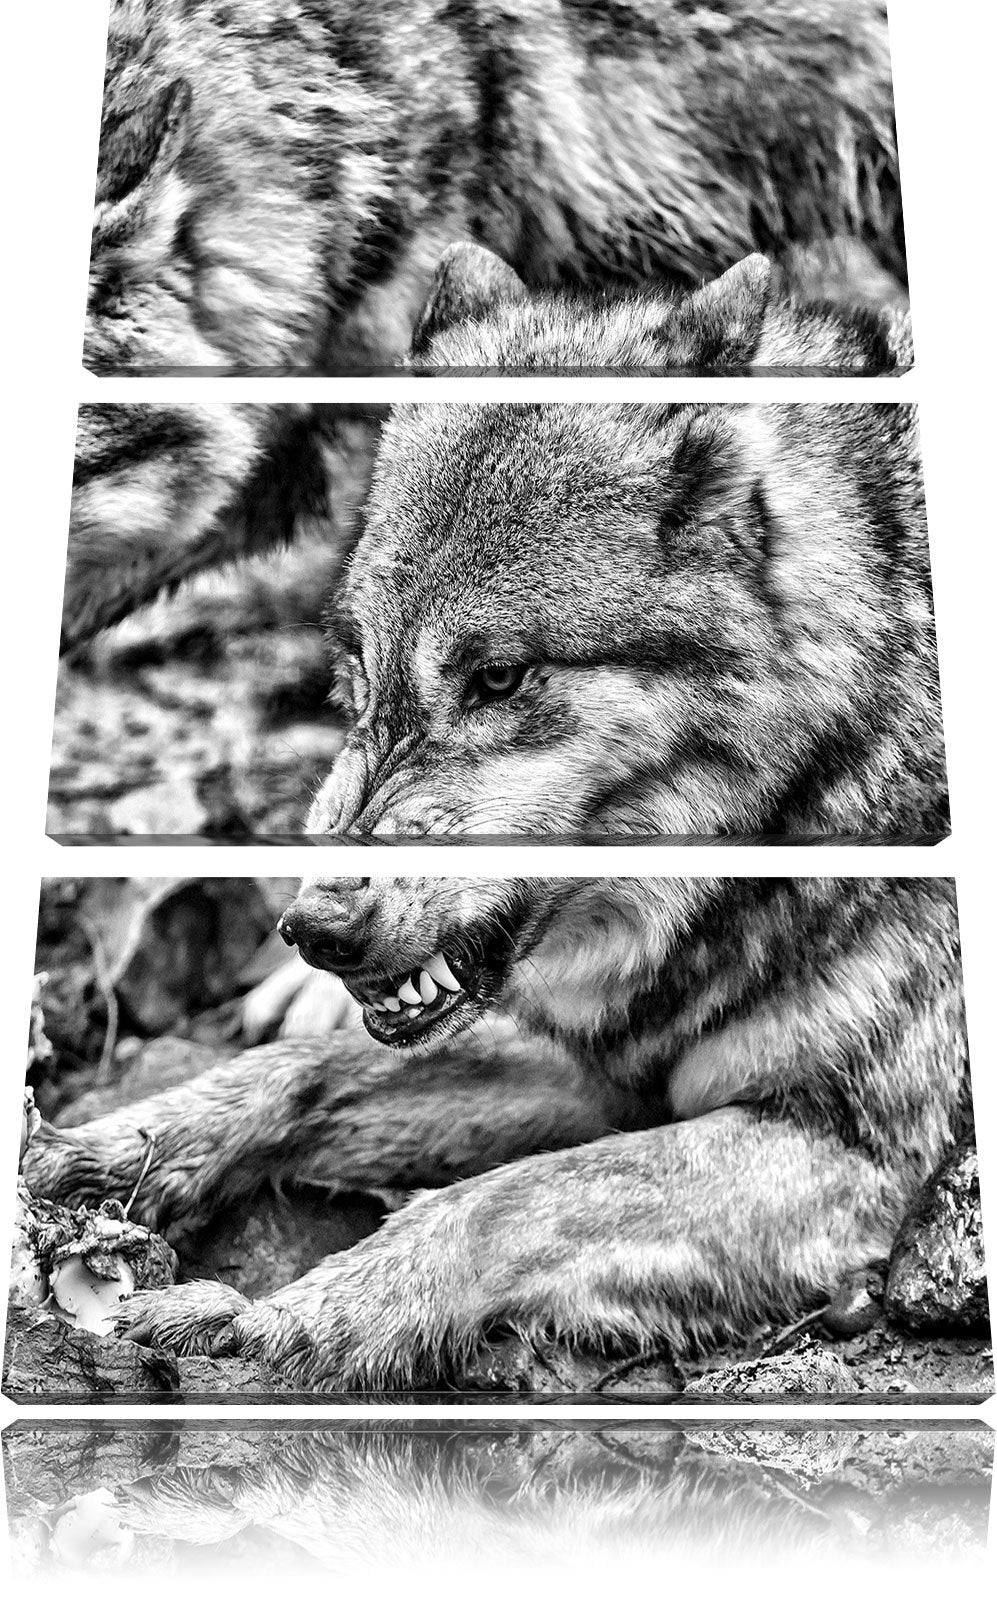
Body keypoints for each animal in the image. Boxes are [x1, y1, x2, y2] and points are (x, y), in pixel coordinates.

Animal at [24, 877, 969, 1392]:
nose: (310, 931)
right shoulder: (600, 1071)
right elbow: (307, 1072)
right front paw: (102, 1153)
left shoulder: (847, 1154)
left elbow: (497, 1202)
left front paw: (274, 1316)